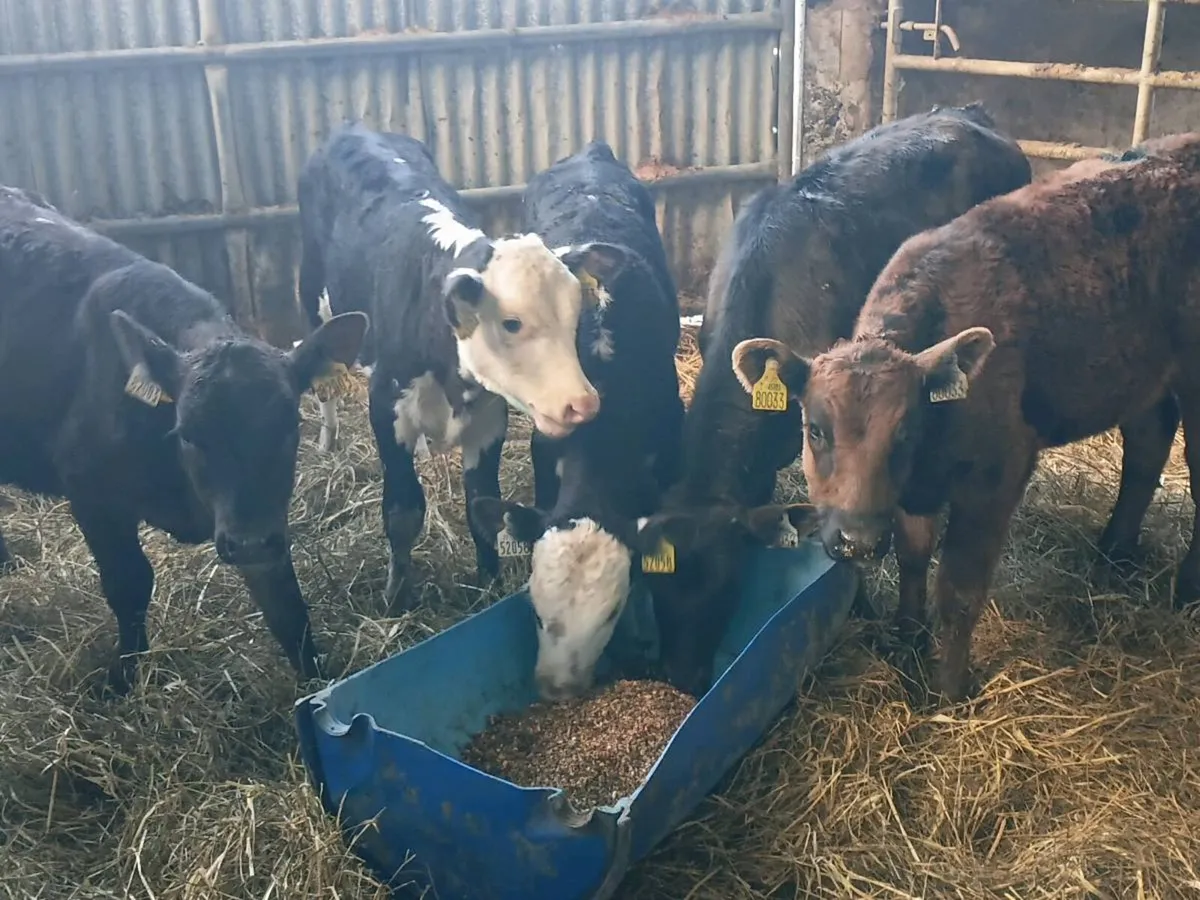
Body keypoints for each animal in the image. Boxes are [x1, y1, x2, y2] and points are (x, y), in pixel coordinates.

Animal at [0, 185, 368, 693]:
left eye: (288, 427)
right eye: (189, 435)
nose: (248, 544)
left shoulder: (256, 523)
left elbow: (286, 605)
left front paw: (318, 683)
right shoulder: (90, 492)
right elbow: (129, 583)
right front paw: (124, 680)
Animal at [296, 123, 617, 611]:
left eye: (575, 313)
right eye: (511, 322)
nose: (581, 404)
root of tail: (353, 126)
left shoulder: (489, 420)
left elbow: (482, 507)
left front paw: (488, 584)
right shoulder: (386, 406)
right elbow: (403, 511)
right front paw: (397, 598)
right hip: (312, 296)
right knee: (324, 376)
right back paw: (327, 437)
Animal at [730, 146, 1200, 702]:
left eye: (904, 433)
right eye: (815, 430)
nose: (858, 542)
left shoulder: (997, 477)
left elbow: (958, 586)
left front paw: (950, 688)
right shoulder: (914, 495)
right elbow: (913, 557)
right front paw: (907, 637)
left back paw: (1186, 589)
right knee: (1148, 442)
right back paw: (1113, 556)